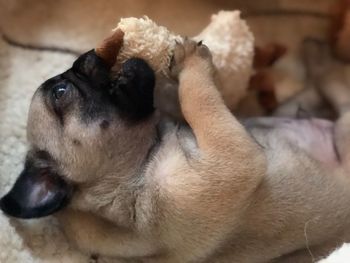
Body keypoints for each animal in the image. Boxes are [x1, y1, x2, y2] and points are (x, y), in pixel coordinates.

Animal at [1, 38, 350, 263]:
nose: (86, 56)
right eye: (61, 93)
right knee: (335, 84)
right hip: (345, 122)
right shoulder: (231, 158)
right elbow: (198, 100)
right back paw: (320, 55)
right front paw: (191, 64)